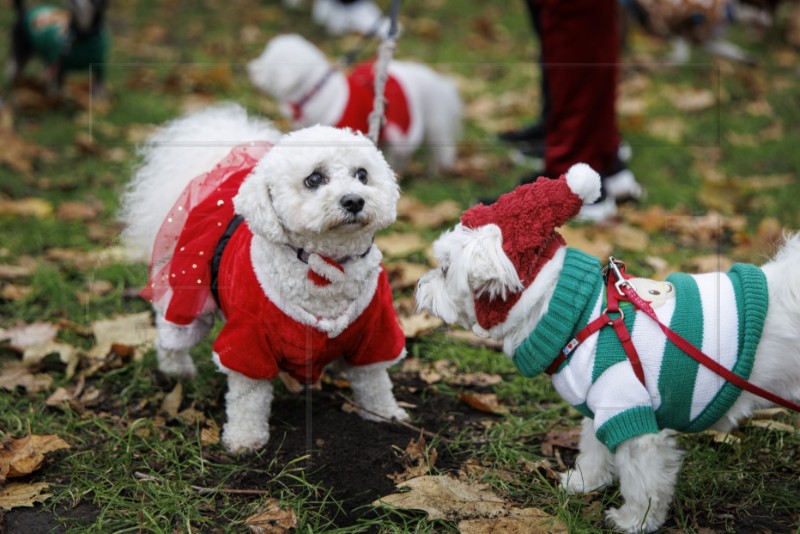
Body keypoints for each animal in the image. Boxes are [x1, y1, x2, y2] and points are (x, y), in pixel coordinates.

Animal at [123, 105, 412, 456]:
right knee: (173, 331)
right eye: (314, 179)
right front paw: (245, 439)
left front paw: (385, 415)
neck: (325, 268)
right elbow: (247, 398)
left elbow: (374, 380)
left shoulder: (376, 329)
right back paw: (176, 369)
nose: (355, 200)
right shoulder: (248, 338)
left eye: (362, 175)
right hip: (189, 293)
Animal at [416, 165, 800, 532]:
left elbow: (643, 481)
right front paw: (585, 482)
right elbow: (593, 448)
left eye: (445, 269)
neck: (577, 316)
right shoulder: (598, 407)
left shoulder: (627, 411)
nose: (419, 285)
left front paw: (637, 521)